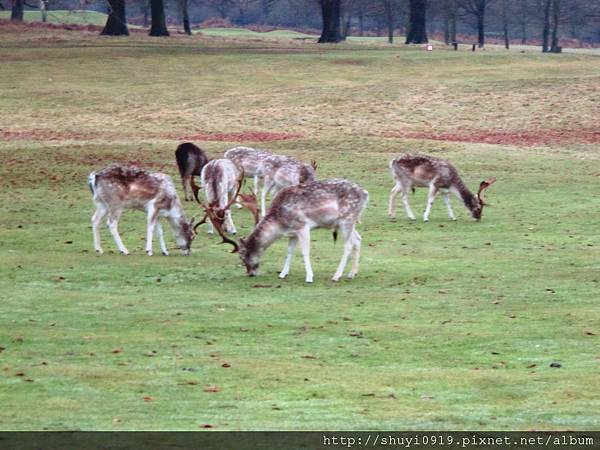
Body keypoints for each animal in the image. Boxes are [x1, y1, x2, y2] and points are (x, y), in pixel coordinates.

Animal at [197, 178, 368, 282]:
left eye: (242, 256)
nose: (250, 273)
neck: (280, 224)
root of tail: (365, 193)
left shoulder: (303, 225)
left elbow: (305, 251)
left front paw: (309, 277)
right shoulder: (292, 233)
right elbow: (290, 251)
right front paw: (282, 274)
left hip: (346, 219)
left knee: (348, 245)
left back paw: (336, 275)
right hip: (348, 222)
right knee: (358, 239)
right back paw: (352, 273)